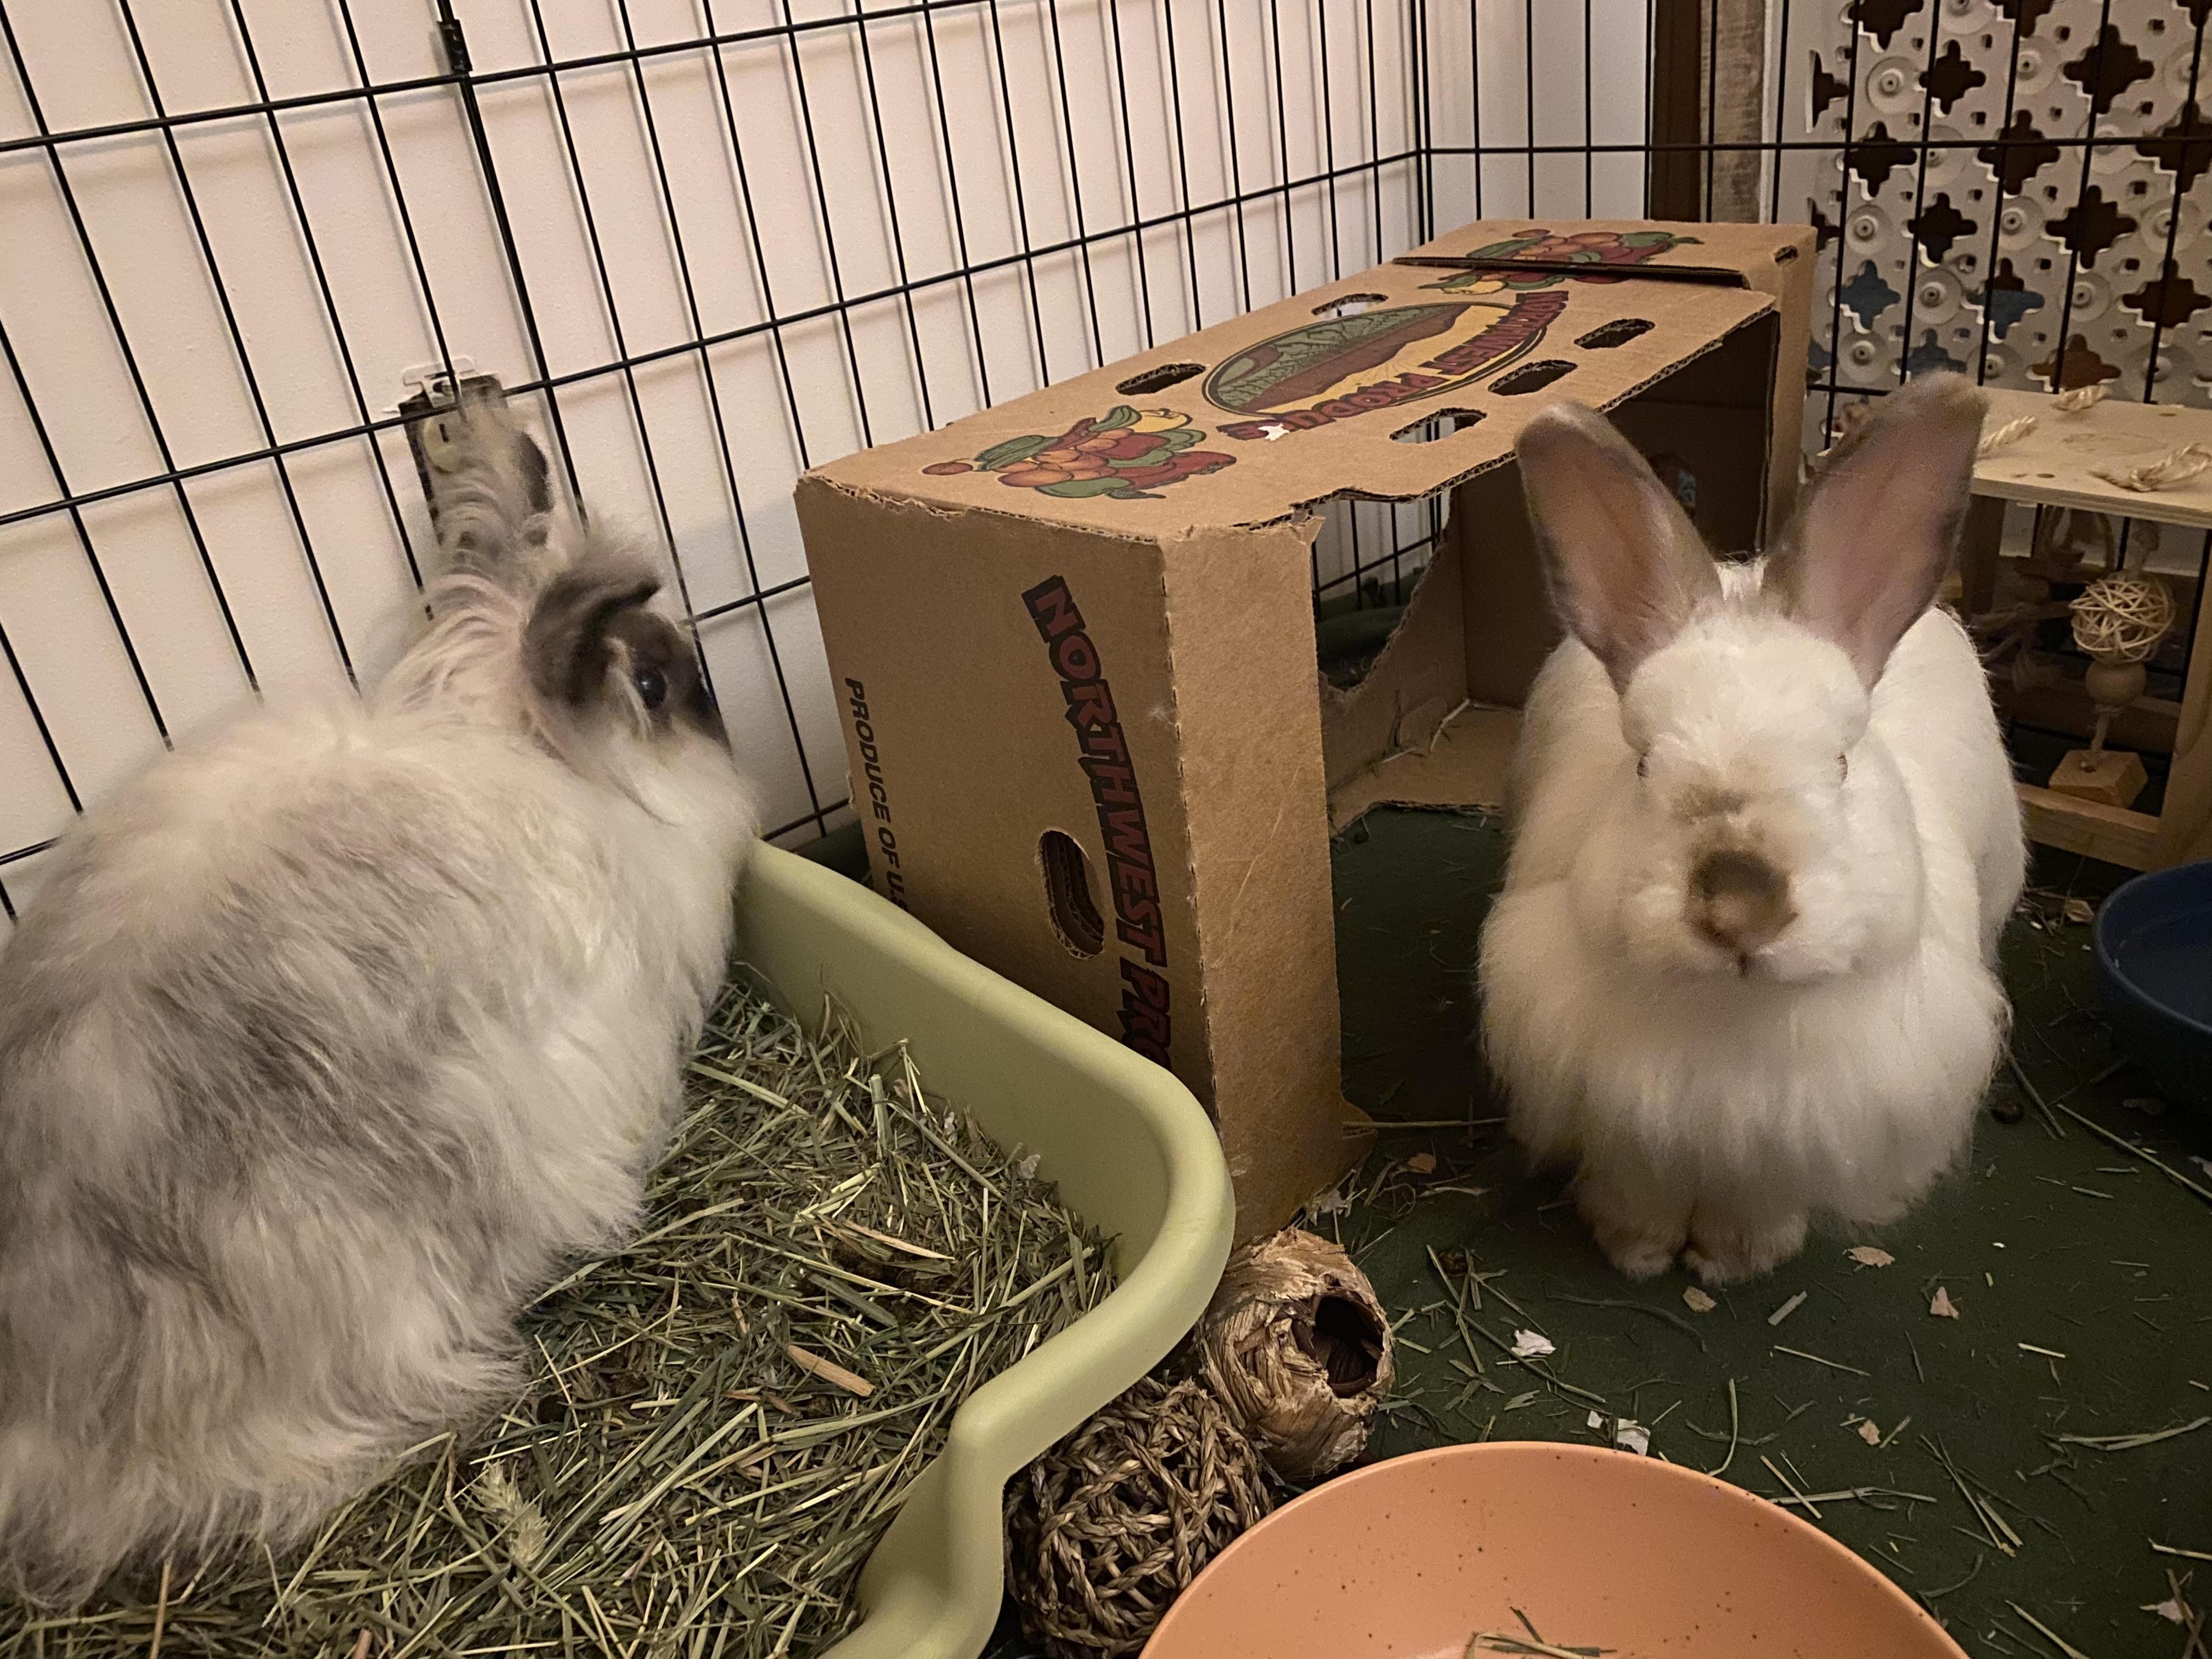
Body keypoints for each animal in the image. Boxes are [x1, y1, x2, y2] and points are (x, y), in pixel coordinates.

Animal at [1478, 373, 2025, 1287]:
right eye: (1642, 765)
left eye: (1841, 762)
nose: (1738, 907)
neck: (1730, 1023)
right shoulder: (1624, 1118)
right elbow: (1638, 1190)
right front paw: (1635, 1251)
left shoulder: (1792, 1137)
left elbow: (1757, 1204)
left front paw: (1735, 1263)